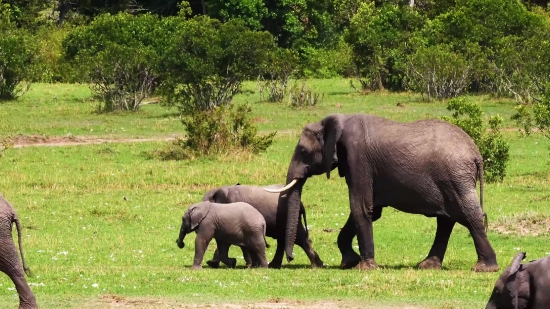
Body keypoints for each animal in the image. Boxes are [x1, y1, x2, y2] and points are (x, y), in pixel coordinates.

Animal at [266, 112, 500, 270]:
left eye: (303, 151)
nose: (291, 258)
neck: (337, 121)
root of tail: (476, 153)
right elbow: (371, 210)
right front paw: (349, 262)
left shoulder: (358, 158)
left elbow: (360, 207)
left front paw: (365, 267)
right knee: (446, 220)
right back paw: (427, 265)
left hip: (455, 178)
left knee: (469, 216)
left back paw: (484, 268)